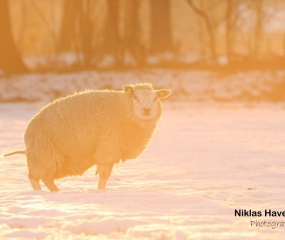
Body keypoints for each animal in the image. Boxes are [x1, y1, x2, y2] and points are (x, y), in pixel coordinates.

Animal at [3, 83, 170, 192]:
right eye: (135, 97)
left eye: (155, 98)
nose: (147, 110)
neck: (123, 110)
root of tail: (28, 130)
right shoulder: (107, 147)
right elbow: (104, 175)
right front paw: (100, 191)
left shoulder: (111, 151)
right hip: (43, 153)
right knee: (35, 178)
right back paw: (42, 195)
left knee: (46, 178)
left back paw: (56, 192)